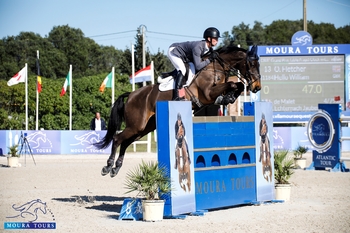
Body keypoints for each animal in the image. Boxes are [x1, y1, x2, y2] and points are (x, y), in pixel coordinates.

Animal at [94, 44, 262, 177]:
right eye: (251, 64)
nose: (257, 87)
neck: (216, 67)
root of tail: (131, 94)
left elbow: (238, 85)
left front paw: (229, 97)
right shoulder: (208, 93)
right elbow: (233, 84)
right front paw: (227, 97)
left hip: (144, 128)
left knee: (125, 142)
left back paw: (116, 168)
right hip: (136, 125)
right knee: (117, 139)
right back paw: (108, 166)